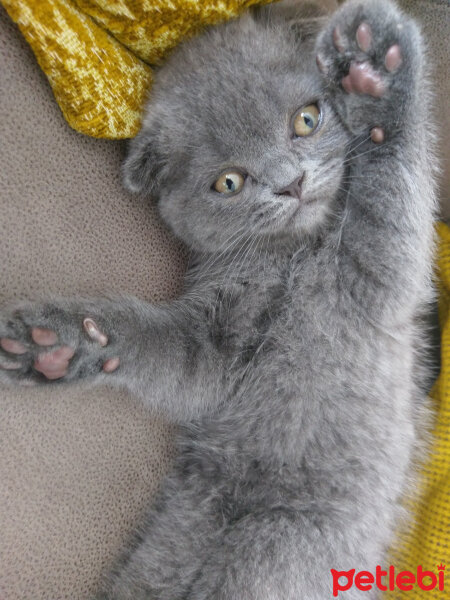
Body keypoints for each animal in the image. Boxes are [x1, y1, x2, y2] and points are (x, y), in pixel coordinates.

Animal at [0, 0, 436, 596]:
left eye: (306, 119)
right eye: (229, 182)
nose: (291, 184)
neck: (294, 256)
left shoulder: (375, 279)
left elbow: (390, 187)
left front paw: (375, 72)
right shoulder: (216, 350)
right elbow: (167, 352)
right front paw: (58, 343)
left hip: (288, 544)